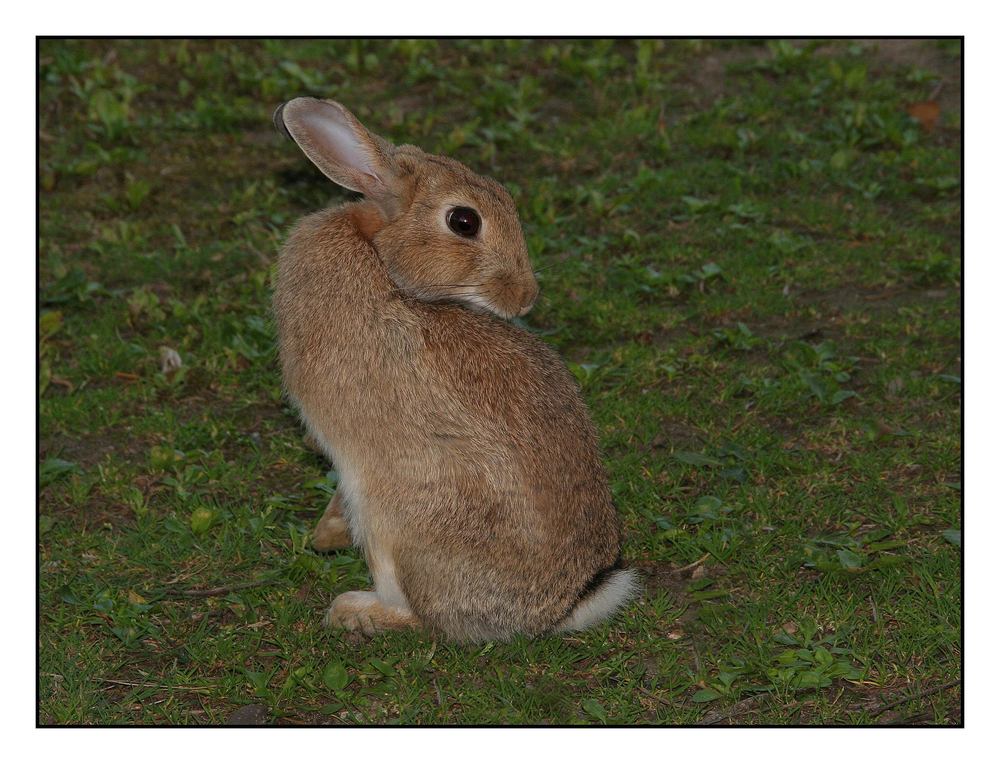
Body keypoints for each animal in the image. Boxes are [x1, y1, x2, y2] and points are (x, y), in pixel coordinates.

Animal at [270, 97, 636, 644]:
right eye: (465, 221)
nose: (525, 297)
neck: (377, 249)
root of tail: (566, 604)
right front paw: (325, 533)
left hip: (394, 521)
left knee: (425, 617)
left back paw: (353, 611)